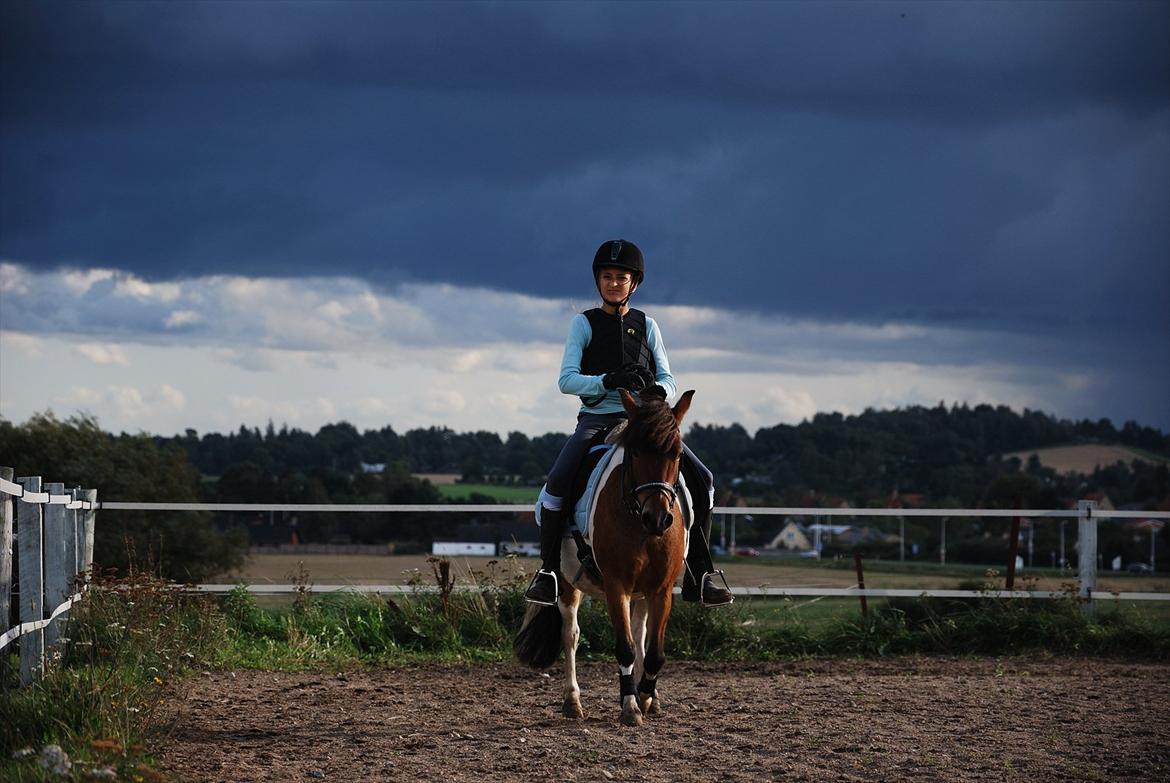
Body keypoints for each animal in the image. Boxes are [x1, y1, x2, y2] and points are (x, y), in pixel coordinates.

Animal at [514, 388, 692, 725]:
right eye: (634, 452)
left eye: (677, 454)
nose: (658, 518)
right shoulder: (616, 585)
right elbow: (624, 647)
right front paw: (631, 707)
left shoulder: (661, 589)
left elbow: (654, 652)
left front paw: (646, 698)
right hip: (567, 583)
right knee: (570, 634)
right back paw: (572, 702)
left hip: (642, 593)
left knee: (641, 635)